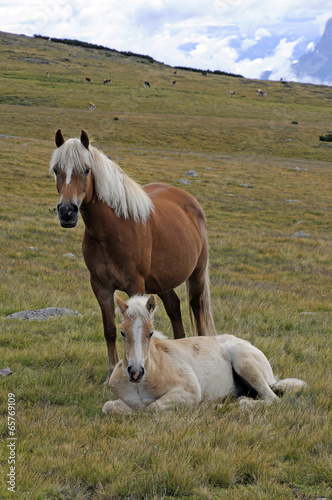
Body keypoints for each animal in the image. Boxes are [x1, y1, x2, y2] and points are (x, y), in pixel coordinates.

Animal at [49, 131, 215, 380]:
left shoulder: (135, 285)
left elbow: (139, 327)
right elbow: (109, 330)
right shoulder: (101, 287)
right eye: (56, 169)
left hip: (196, 274)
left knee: (196, 307)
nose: (67, 211)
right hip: (161, 281)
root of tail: (189, 200)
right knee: (174, 307)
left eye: (86, 169)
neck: (113, 230)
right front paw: (112, 372)